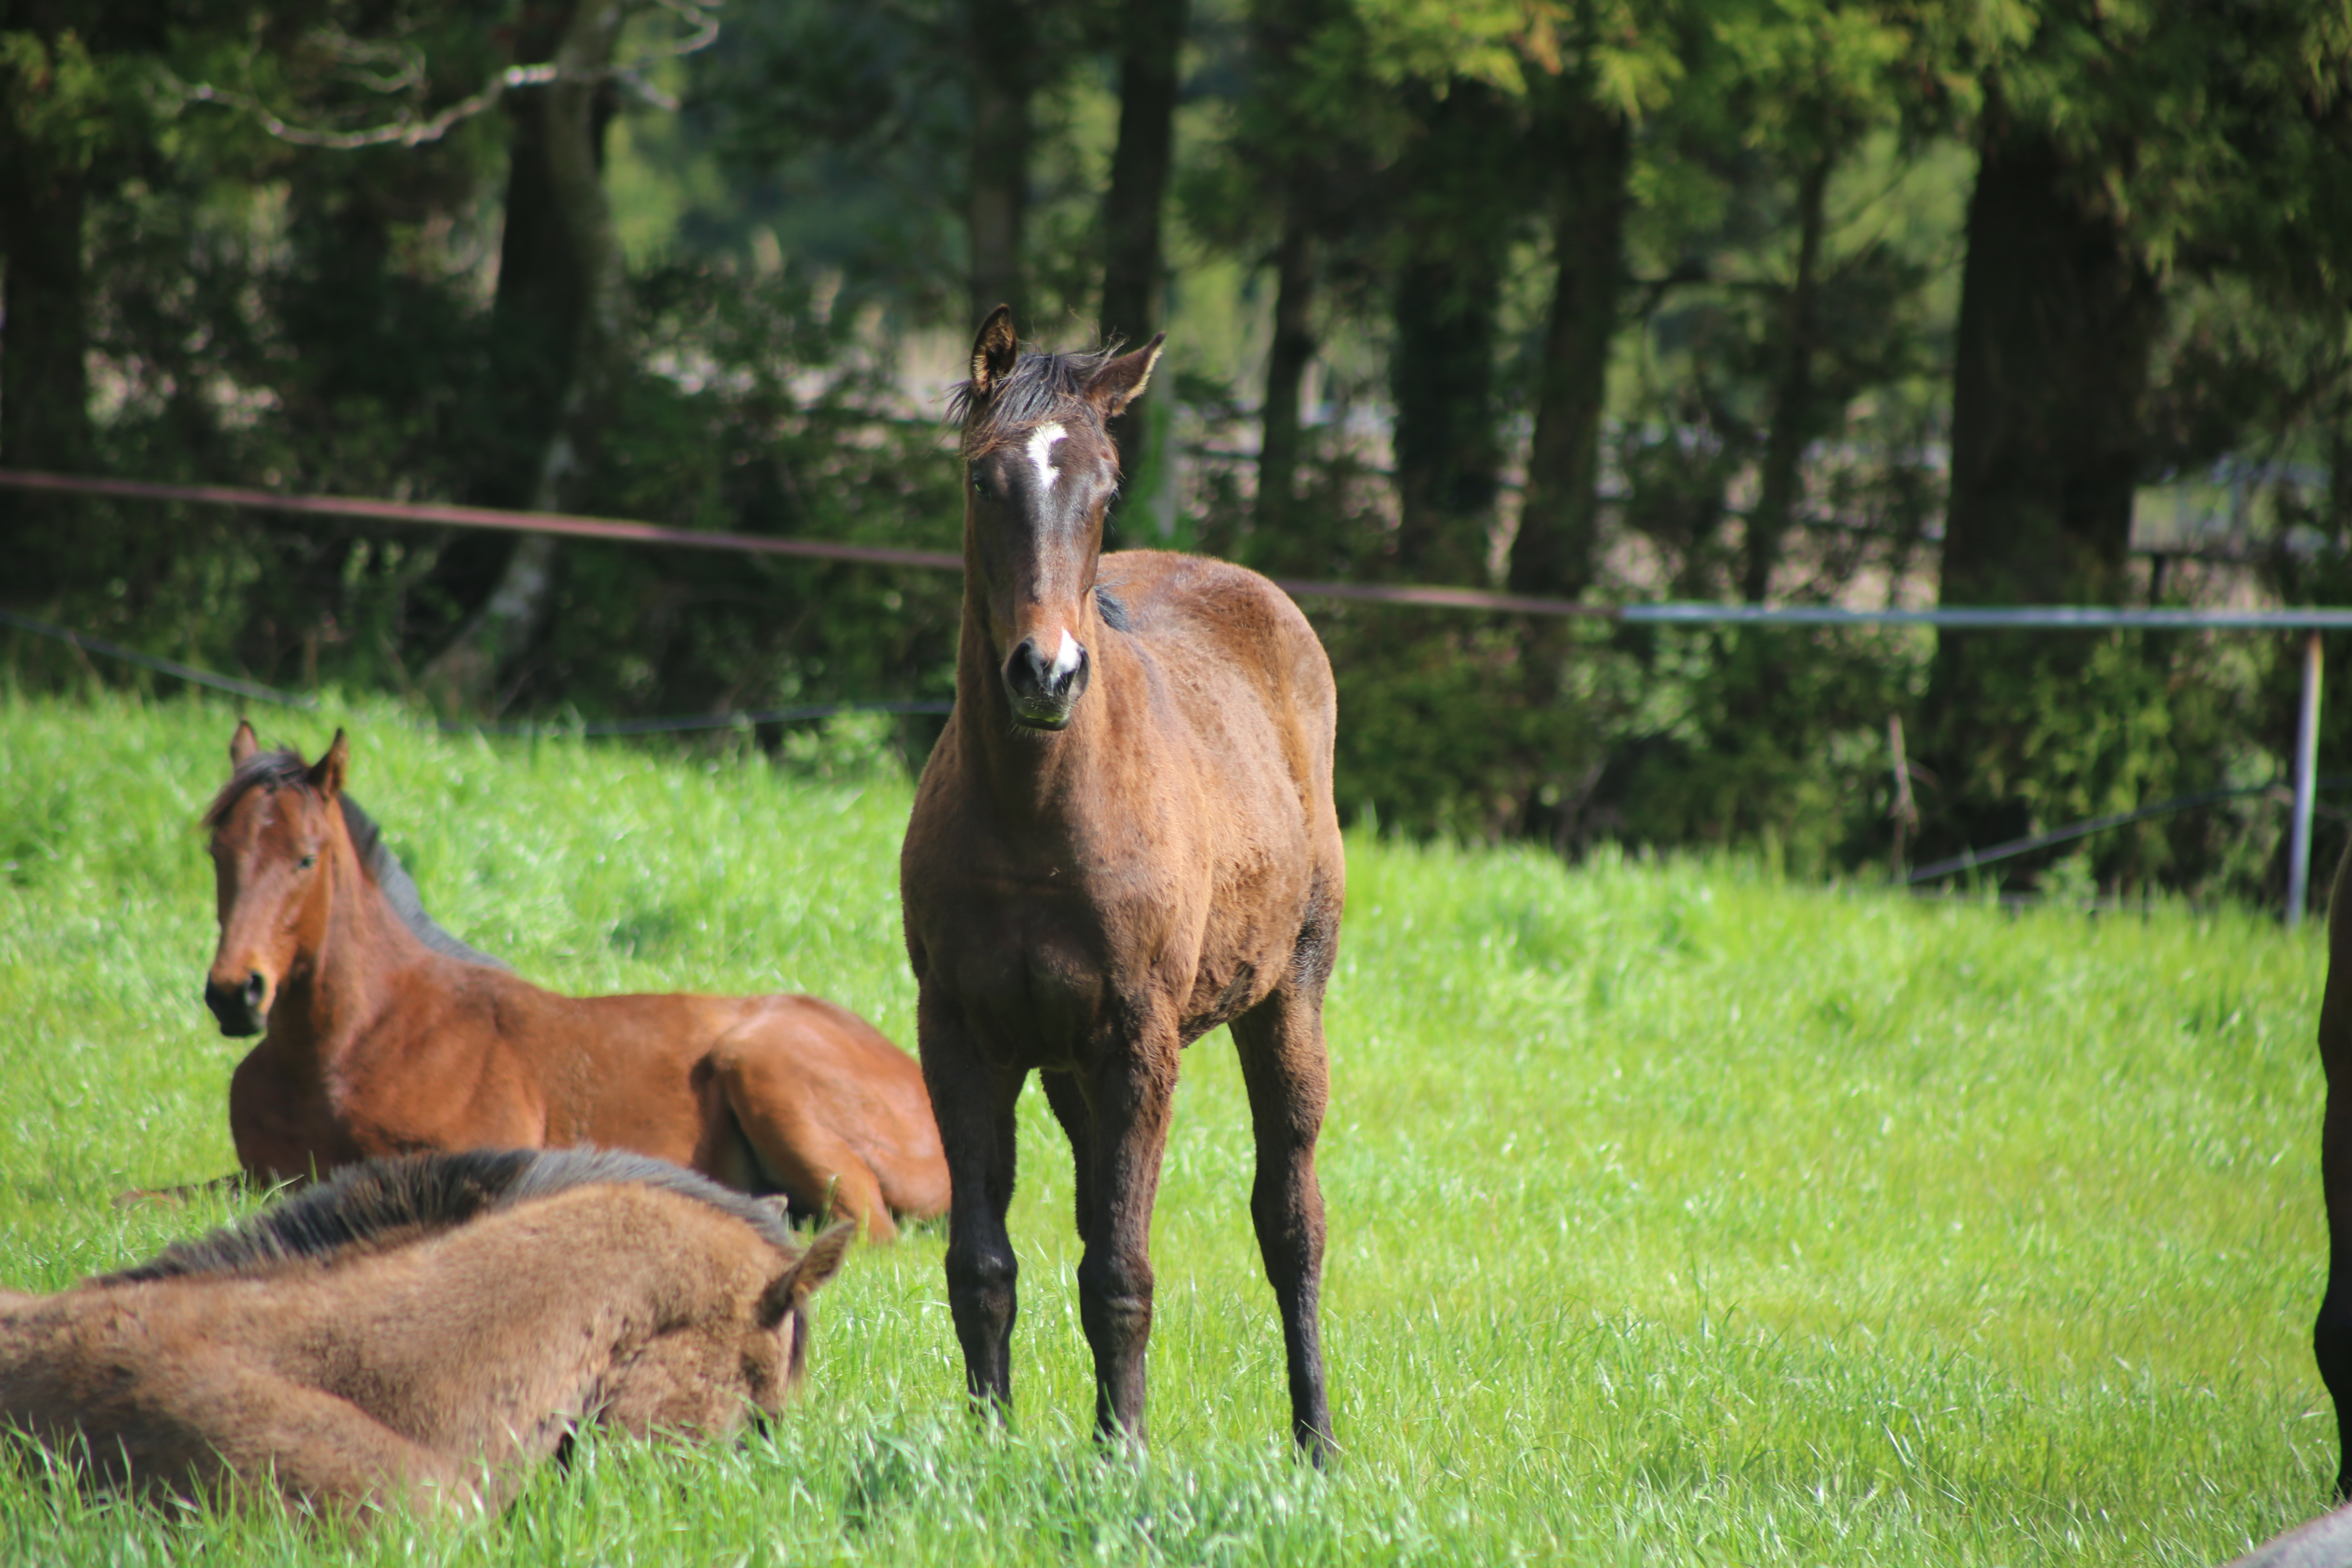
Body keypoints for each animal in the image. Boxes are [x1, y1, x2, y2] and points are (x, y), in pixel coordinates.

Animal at [195, 719, 945, 1241]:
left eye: (305, 858)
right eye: (216, 852)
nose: (235, 993)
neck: (347, 1047)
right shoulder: (259, 1175)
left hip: (762, 1065)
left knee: (871, 1230)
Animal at [898, 310, 1345, 1457]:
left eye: (1103, 488)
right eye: (984, 480)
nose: (1046, 674)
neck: (1034, 819)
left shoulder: (1141, 1039)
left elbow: (1121, 1273)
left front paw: (1124, 1460)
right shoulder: (960, 1036)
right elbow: (983, 1266)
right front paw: (991, 1450)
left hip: (1287, 998)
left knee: (1291, 1218)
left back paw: (1316, 1442)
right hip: (1067, 1069)